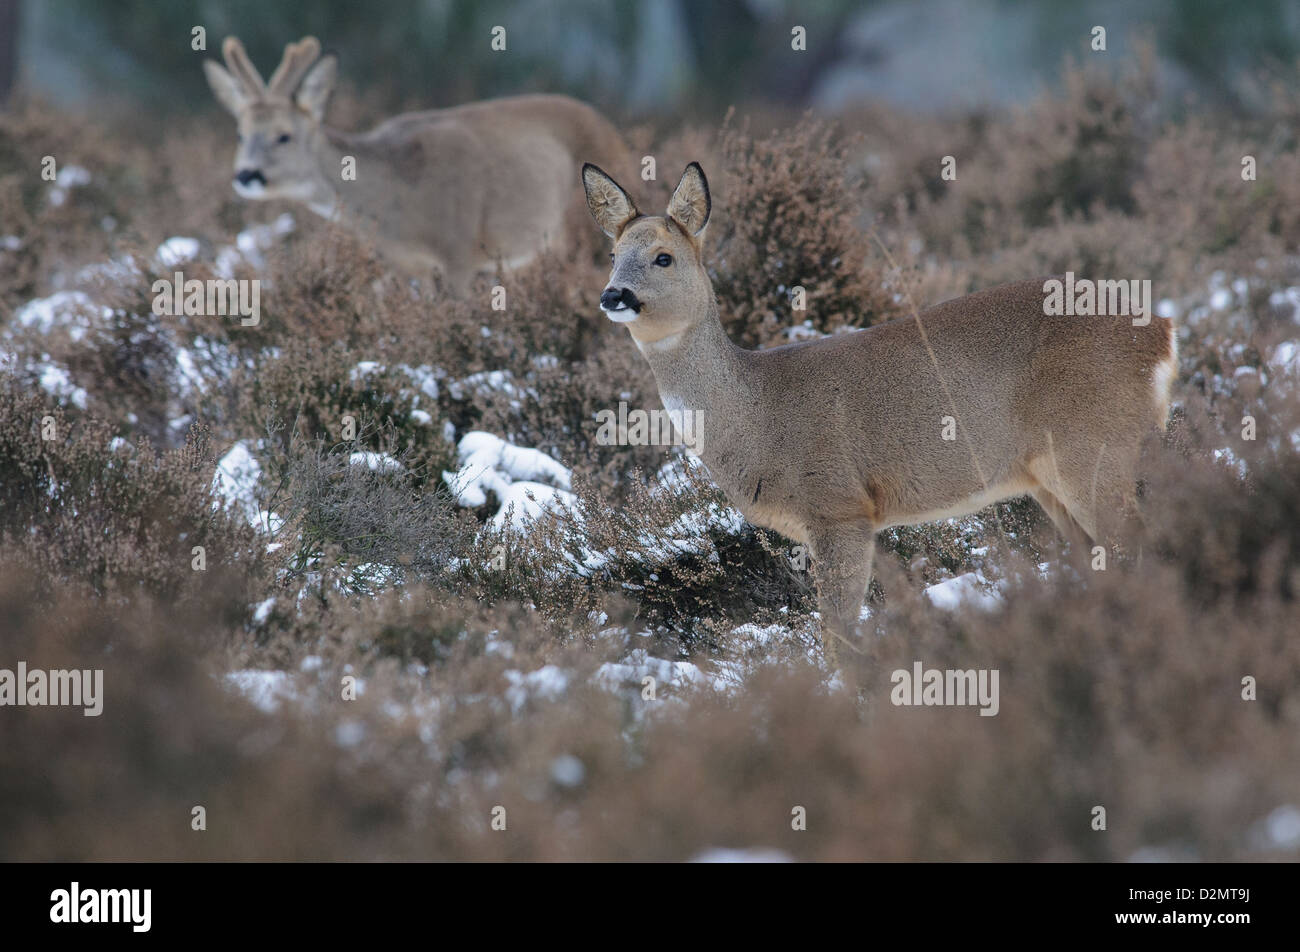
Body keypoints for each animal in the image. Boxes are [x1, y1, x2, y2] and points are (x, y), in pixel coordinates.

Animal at [203, 36, 633, 295]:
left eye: (284, 135)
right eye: (240, 133)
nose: (246, 175)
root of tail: (615, 132)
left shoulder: (460, 249)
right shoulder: (409, 269)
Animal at [582, 161, 1177, 667]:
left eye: (664, 257)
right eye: (612, 256)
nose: (614, 296)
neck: (756, 410)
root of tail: (1163, 334)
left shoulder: (838, 506)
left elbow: (839, 639)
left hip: (1093, 445)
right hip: (1047, 477)